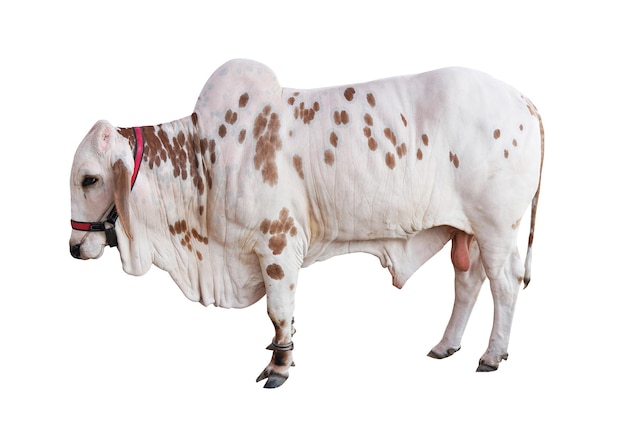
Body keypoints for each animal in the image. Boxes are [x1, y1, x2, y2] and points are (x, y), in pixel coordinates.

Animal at [70, 58, 544, 388]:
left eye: (90, 179)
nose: (74, 248)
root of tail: (524, 99)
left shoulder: (278, 245)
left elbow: (278, 312)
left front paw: (278, 365)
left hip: (497, 227)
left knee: (505, 285)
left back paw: (491, 354)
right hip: (470, 231)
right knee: (468, 283)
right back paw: (447, 345)